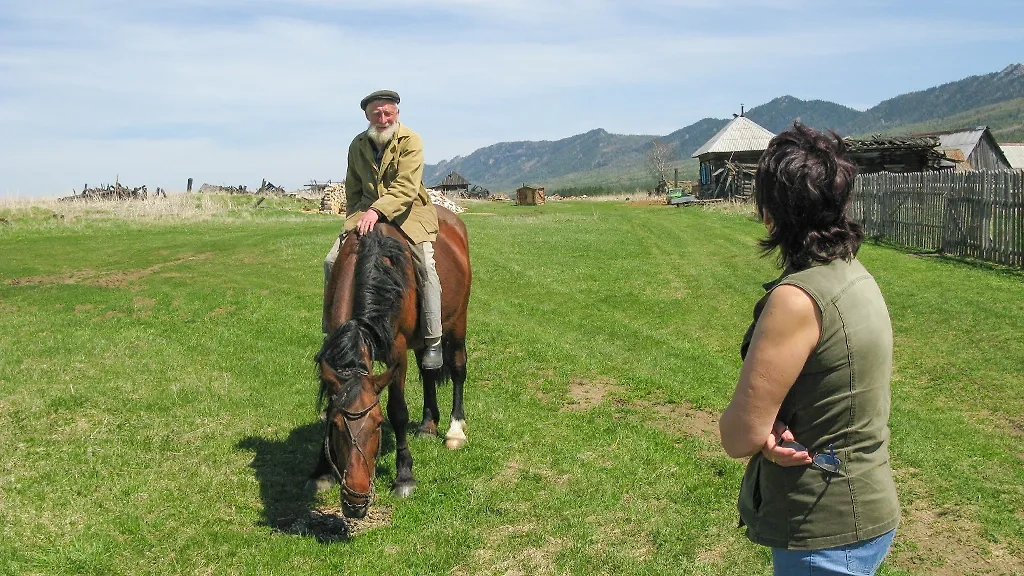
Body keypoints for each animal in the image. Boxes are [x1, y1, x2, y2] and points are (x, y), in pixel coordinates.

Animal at [311, 204, 471, 516]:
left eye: (376, 425)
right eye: (336, 427)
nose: (355, 501)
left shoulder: (397, 350)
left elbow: (398, 411)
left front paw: (404, 476)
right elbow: (329, 402)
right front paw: (323, 470)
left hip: (458, 321)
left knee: (458, 368)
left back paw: (454, 430)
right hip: (423, 339)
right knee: (429, 368)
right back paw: (427, 425)